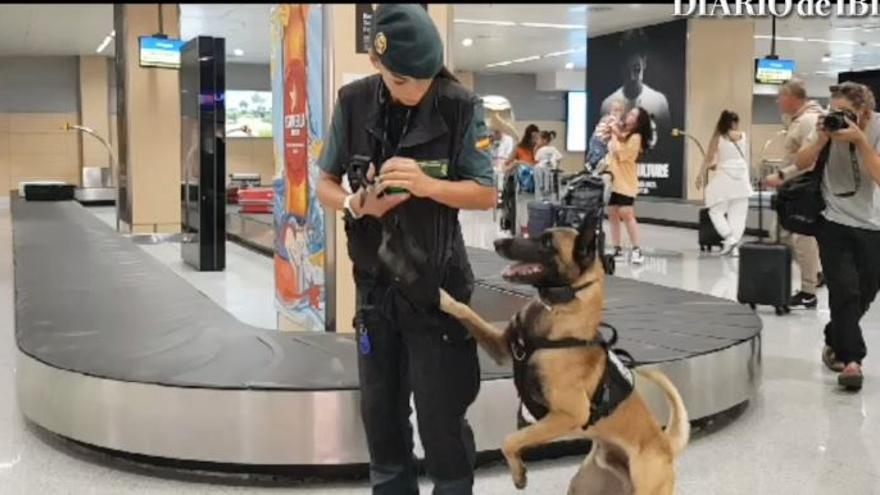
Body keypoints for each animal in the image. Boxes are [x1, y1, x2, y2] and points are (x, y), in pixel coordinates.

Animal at [436, 215, 692, 494]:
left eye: (548, 243)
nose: (497, 242)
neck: (557, 311)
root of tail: (666, 444)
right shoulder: (504, 349)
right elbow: (466, 311)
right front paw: (442, 296)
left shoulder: (569, 414)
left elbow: (510, 439)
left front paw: (518, 472)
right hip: (585, 483)